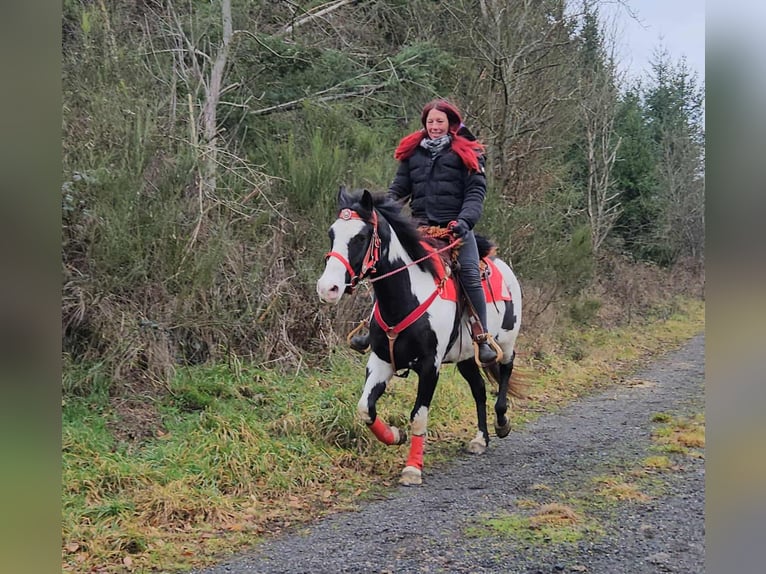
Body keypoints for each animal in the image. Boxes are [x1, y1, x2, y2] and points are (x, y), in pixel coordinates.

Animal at [316, 187, 523, 485]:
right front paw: (394, 435)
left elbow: (418, 416)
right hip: (465, 357)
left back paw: (502, 422)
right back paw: (480, 440)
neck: (407, 296)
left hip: (504, 343)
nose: (327, 288)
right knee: (479, 390)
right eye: (332, 233)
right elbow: (366, 408)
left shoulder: (429, 367)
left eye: (361, 237)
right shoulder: (381, 361)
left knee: (506, 370)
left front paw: (413, 468)